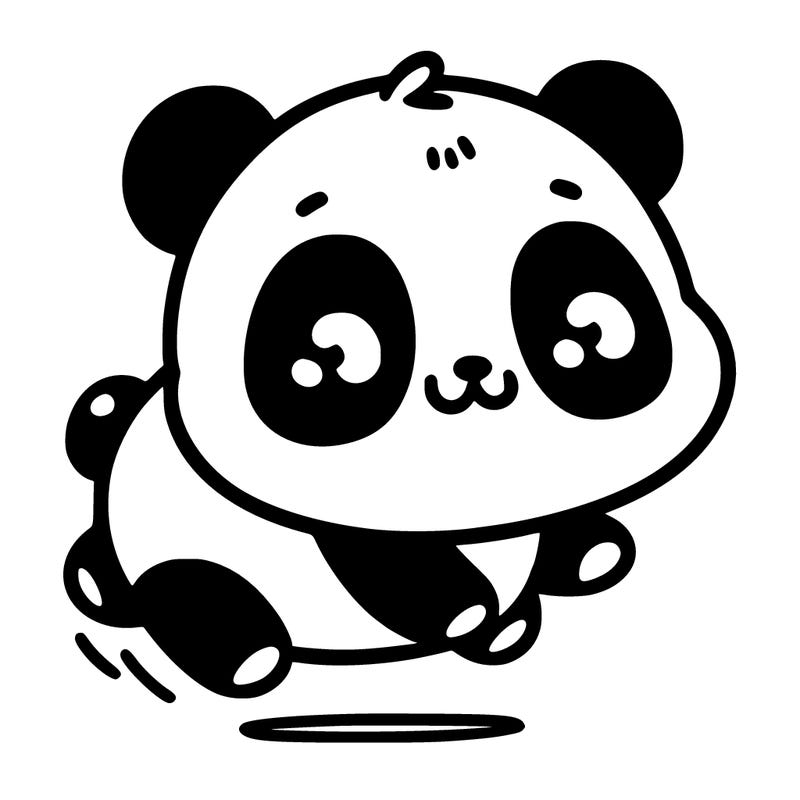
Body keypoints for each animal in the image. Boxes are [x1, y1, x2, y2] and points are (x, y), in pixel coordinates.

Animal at [64, 52, 734, 714]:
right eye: (330, 351)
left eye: (588, 323)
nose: (475, 382)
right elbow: (379, 562)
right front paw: (464, 608)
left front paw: (553, 568)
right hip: (176, 558)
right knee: (198, 598)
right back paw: (251, 654)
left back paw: (571, 571)